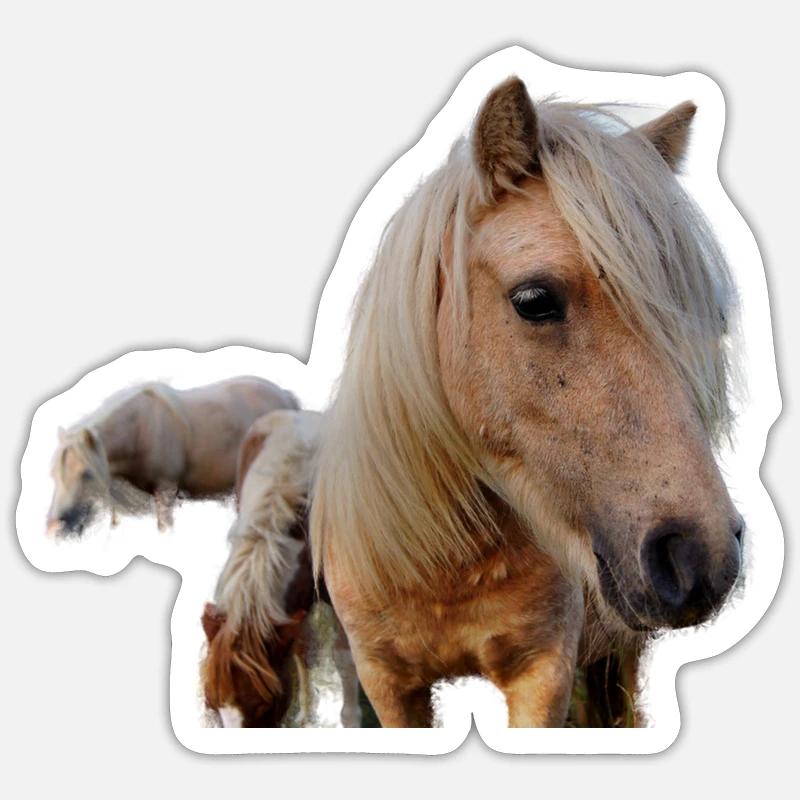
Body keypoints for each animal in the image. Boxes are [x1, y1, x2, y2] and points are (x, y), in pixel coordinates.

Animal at [46, 376, 298, 536]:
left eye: (87, 474)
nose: (53, 527)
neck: (141, 429)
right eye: (54, 475)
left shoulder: (166, 491)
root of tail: (286, 397)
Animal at [311, 77, 743, 727]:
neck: (447, 568)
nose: (701, 557)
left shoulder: (543, 675)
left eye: (711, 319)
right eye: (534, 300)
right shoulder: (386, 684)